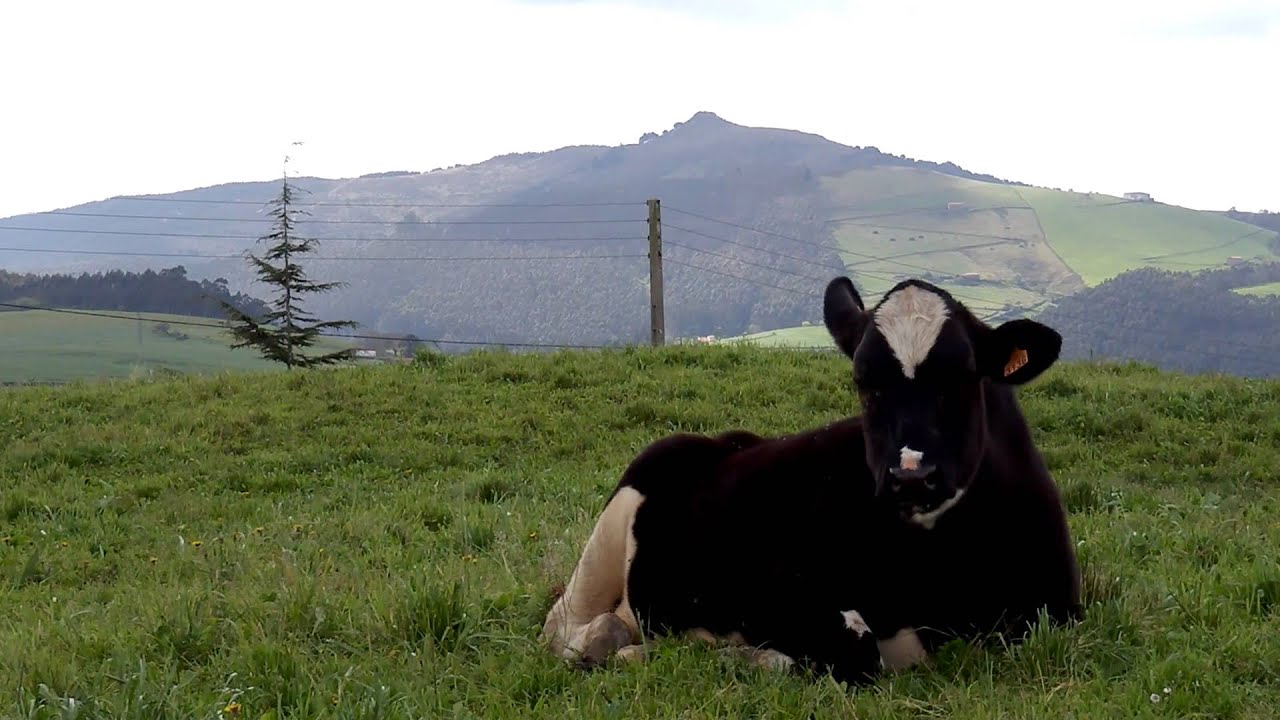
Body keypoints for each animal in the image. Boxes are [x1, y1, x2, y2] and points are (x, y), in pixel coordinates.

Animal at [541, 276, 1082, 686]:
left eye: (965, 376)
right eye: (863, 382)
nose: (911, 477)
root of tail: (719, 442)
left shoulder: (1058, 612)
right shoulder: (768, 591)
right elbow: (855, 646)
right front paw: (743, 656)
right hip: (609, 537)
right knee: (563, 624)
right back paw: (608, 643)